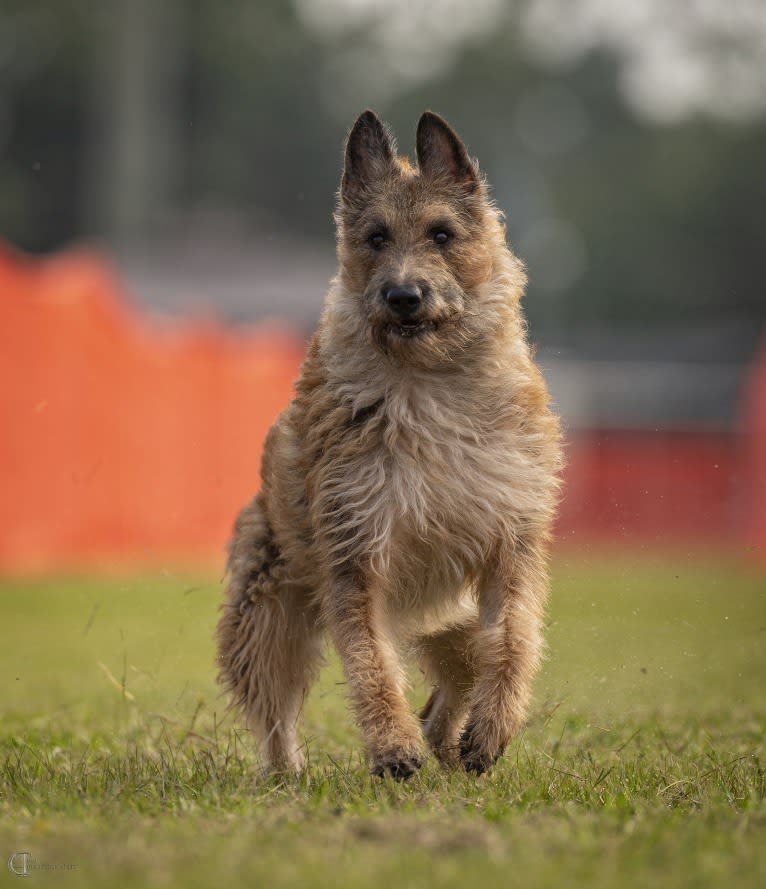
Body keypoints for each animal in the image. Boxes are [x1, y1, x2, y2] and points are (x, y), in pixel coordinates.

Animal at [216, 109, 564, 776]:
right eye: (376, 237)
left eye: (442, 234)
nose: (404, 296)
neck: (428, 378)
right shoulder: (354, 554)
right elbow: (370, 658)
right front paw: (393, 748)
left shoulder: (510, 543)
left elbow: (514, 640)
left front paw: (491, 730)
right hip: (267, 614)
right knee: (276, 709)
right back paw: (287, 774)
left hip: (450, 617)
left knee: (464, 668)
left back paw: (449, 736)